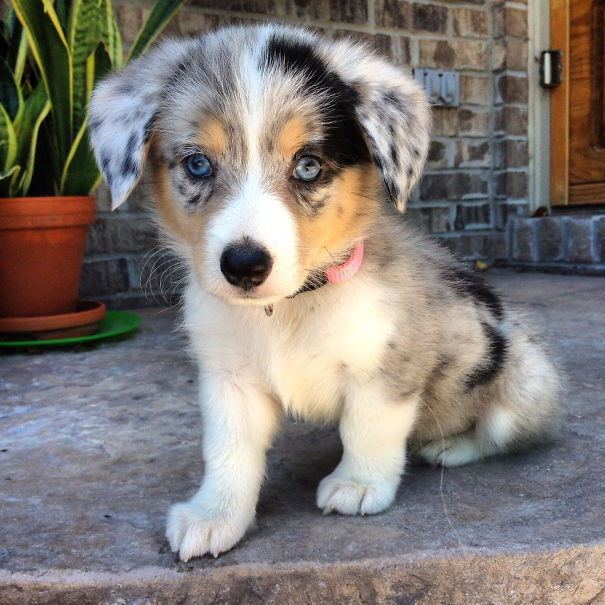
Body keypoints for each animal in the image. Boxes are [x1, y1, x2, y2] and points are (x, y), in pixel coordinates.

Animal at [88, 24, 556, 560]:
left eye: (308, 166)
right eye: (198, 164)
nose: (244, 266)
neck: (288, 309)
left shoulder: (386, 368)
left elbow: (367, 429)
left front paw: (358, 485)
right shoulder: (229, 380)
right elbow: (229, 452)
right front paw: (214, 516)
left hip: (522, 384)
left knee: (499, 435)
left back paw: (449, 447)